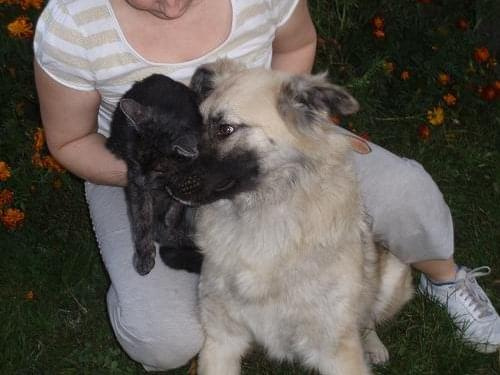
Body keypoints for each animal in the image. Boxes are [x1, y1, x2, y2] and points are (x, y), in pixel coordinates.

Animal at [189, 61, 412, 375]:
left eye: (225, 129)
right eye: (198, 124)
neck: (264, 215)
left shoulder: (337, 352)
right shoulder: (221, 338)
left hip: (393, 276)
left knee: (367, 315)